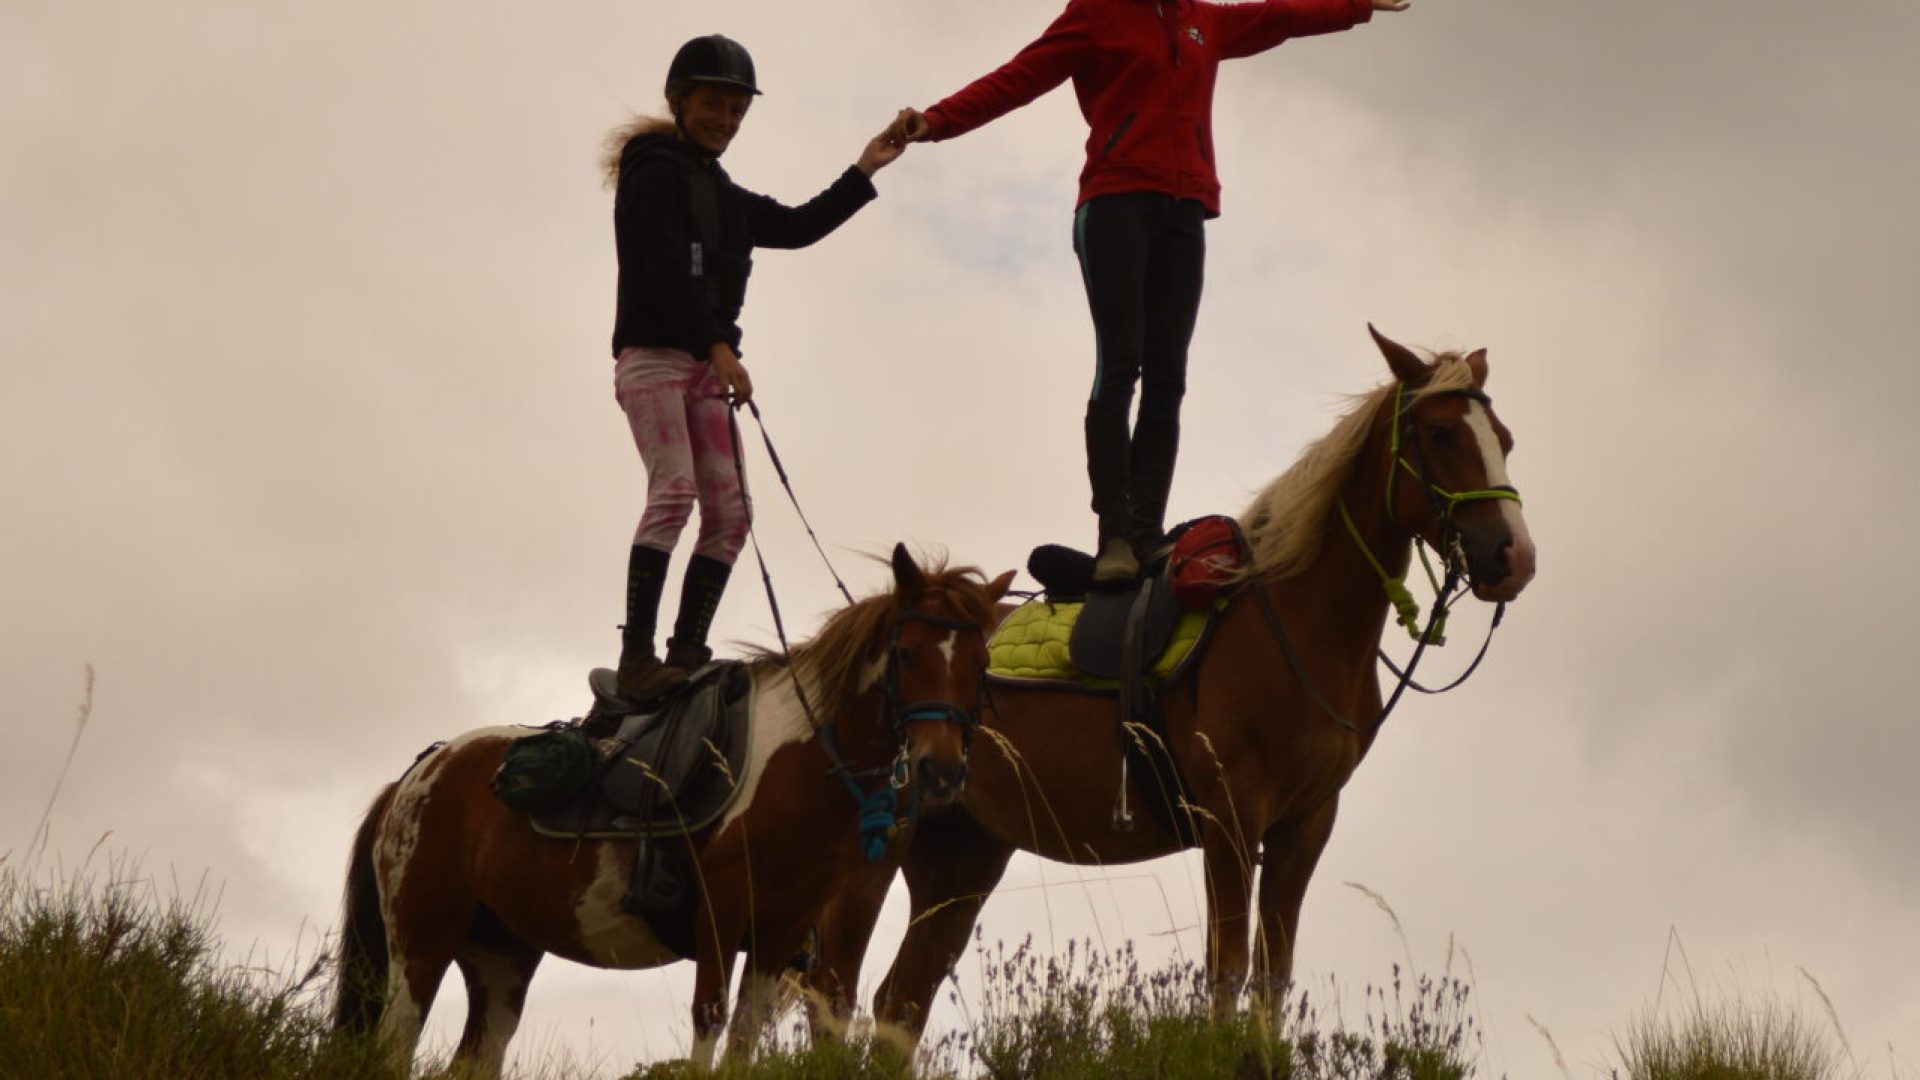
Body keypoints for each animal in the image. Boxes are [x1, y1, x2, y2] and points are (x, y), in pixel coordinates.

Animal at [330, 545, 1021, 1076]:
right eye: (907, 654)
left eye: (981, 663)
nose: (940, 771)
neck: (796, 768)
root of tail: (413, 778)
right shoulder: (721, 915)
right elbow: (708, 1021)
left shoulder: (776, 933)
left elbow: (743, 1036)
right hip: (420, 947)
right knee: (392, 1049)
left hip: (501, 961)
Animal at [817, 326, 1536, 1022]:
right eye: (1440, 433)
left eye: (1504, 440)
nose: (1514, 556)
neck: (1297, 621)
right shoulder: (1231, 816)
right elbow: (1226, 976)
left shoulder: (1305, 826)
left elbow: (1271, 984)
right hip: (877, 846)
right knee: (836, 987)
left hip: (961, 854)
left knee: (899, 1002)